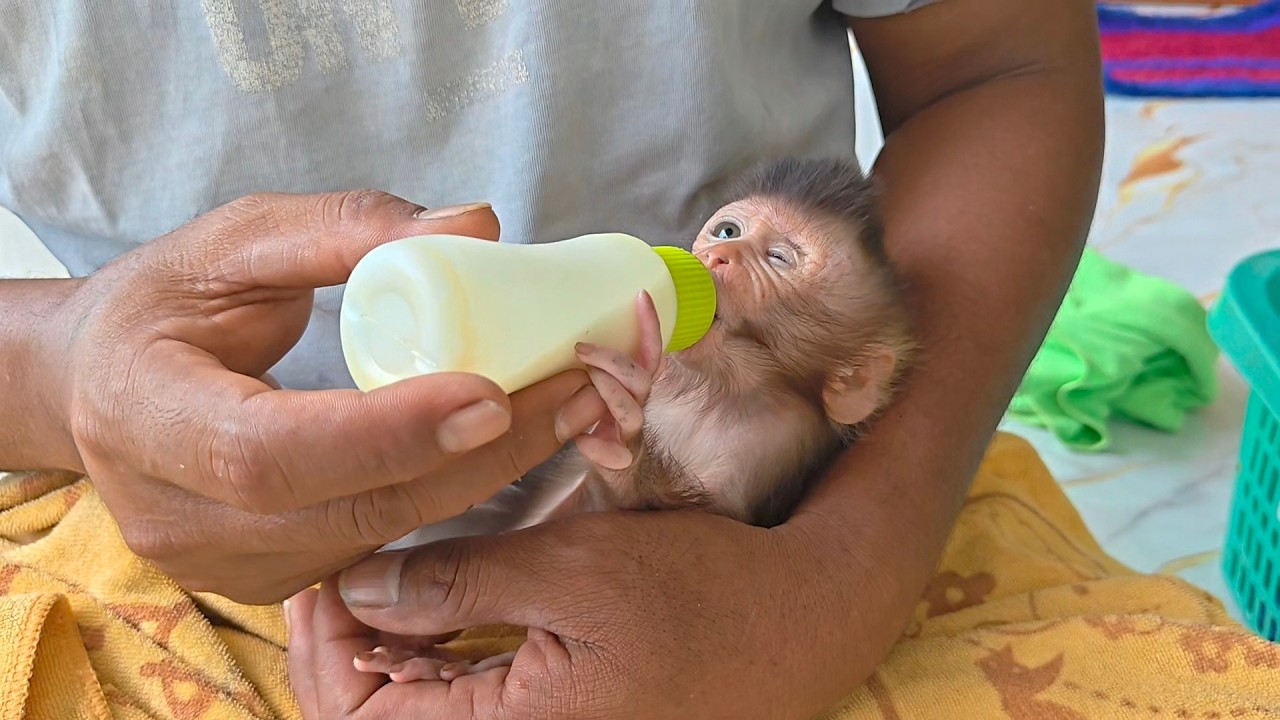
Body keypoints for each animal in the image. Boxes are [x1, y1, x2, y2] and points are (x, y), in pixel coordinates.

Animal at [351, 156, 916, 682]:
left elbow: (681, 513)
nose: (718, 255)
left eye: (778, 259)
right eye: (729, 231)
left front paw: (620, 427)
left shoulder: (770, 443)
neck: (715, 386)